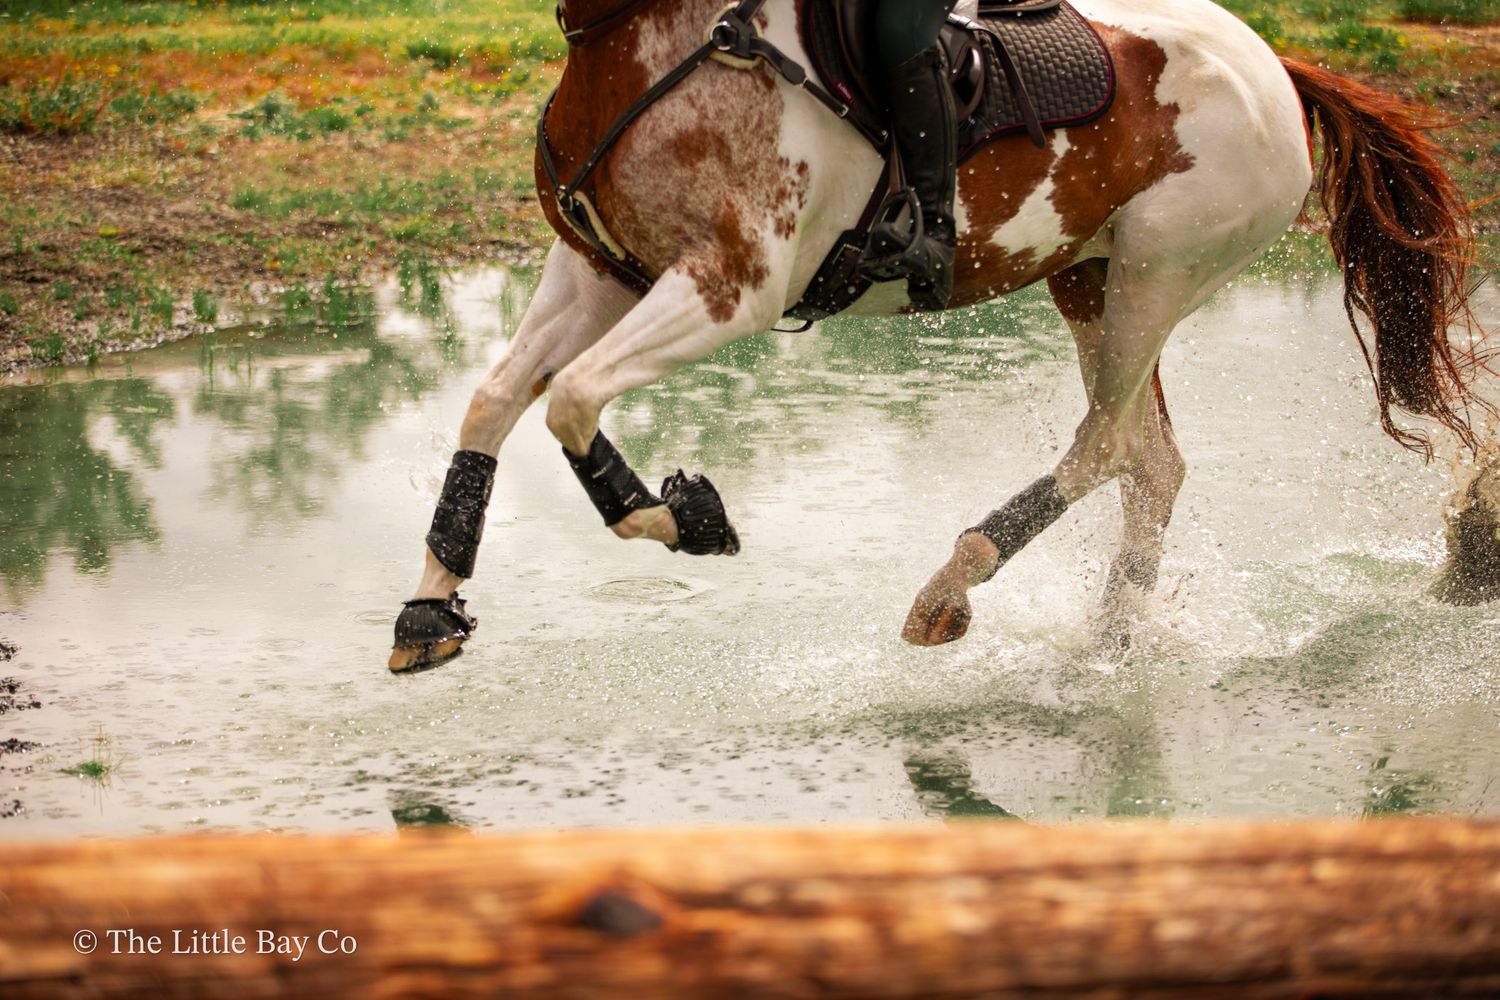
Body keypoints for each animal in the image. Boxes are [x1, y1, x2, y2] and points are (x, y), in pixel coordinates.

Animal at [387, 0, 1488, 671]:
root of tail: (1275, 65)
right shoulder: (599, 270)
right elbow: (497, 400)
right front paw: (431, 609)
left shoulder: (729, 288)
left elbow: (571, 401)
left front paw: (690, 516)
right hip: (1091, 278)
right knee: (1153, 464)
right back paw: (1110, 644)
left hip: (1157, 275)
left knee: (1105, 449)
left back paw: (953, 587)